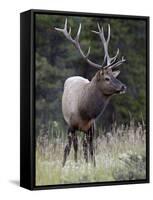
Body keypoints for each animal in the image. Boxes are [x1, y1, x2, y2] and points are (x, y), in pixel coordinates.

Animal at [55, 19, 126, 166]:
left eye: (114, 75)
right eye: (107, 78)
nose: (123, 87)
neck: (85, 112)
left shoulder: (92, 127)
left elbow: (91, 151)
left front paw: (92, 166)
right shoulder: (71, 125)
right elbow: (67, 149)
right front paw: (63, 166)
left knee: (84, 147)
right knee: (75, 145)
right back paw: (76, 161)